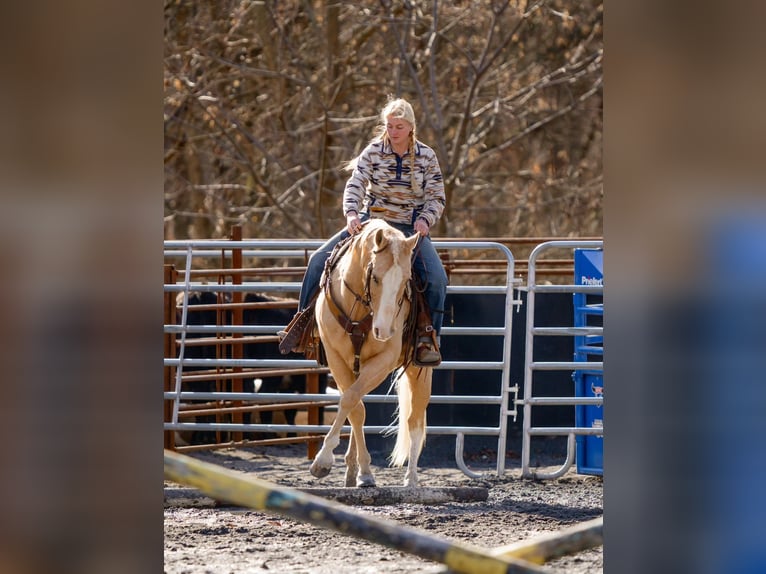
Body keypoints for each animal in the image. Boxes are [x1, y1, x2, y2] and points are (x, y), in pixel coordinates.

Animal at [309, 219, 433, 488]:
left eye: (406, 279)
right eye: (374, 277)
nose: (384, 330)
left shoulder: (383, 361)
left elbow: (350, 401)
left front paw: (323, 461)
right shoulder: (336, 357)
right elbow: (354, 407)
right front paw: (361, 471)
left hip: (420, 371)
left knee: (414, 421)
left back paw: (411, 479)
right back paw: (352, 470)